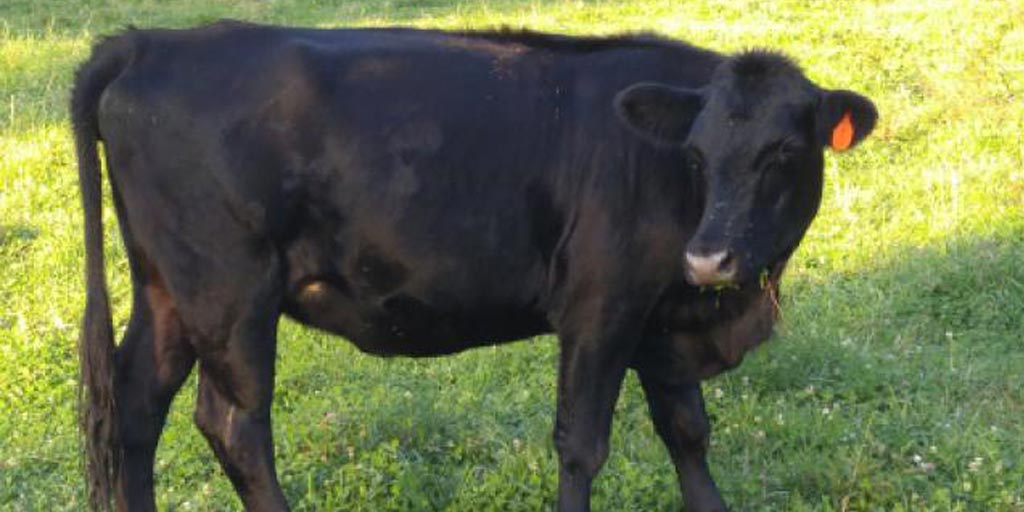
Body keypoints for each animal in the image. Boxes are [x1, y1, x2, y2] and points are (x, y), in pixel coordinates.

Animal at [72, 21, 876, 511]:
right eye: (699, 154)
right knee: (234, 423)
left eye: (784, 152)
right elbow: (581, 444)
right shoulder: (600, 307)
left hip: (167, 289)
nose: (709, 258)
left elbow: (687, 430)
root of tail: (153, 43)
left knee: (135, 406)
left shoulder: (663, 319)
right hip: (228, 292)